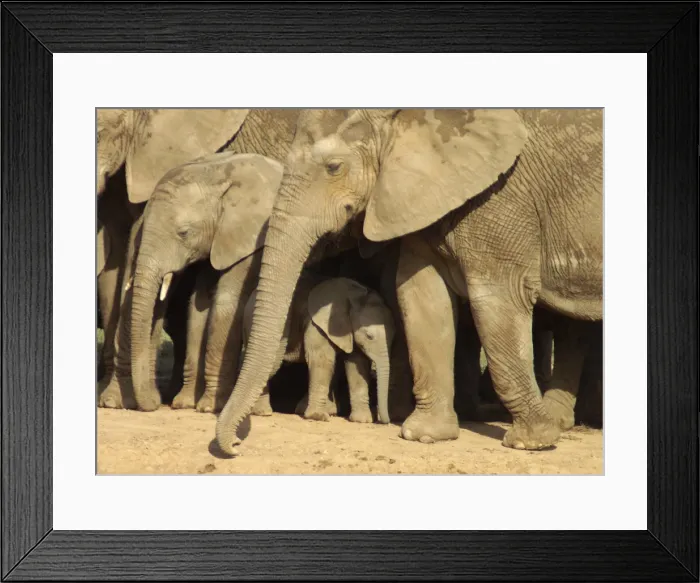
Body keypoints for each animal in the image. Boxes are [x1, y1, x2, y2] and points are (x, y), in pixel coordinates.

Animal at [243, 275, 396, 423]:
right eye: (369, 336)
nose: (384, 421)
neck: (353, 295)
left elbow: (357, 364)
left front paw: (362, 420)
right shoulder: (317, 323)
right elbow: (321, 360)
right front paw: (318, 416)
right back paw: (262, 412)